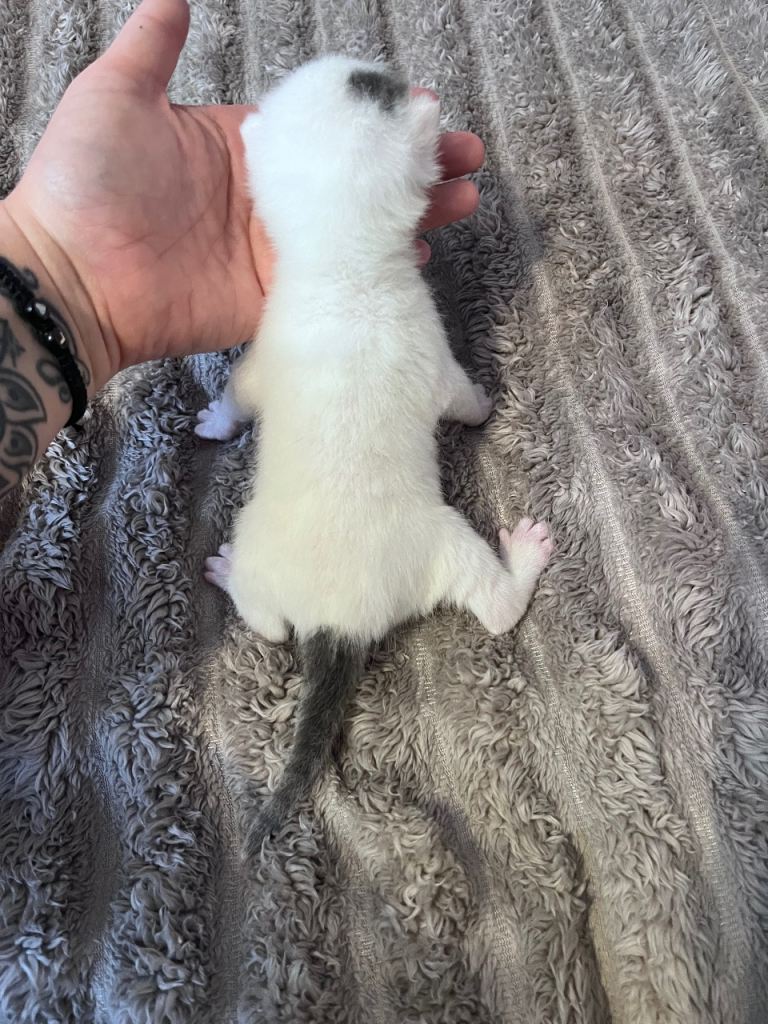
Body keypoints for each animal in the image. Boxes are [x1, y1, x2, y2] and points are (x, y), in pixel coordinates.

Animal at [195, 56, 553, 857]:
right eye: (375, 79)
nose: (390, 68)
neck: (341, 269)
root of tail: (337, 619)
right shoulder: (434, 356)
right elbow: (462, 397)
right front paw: (487, 406)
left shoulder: (260, 354)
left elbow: (240, 391)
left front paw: (215, 419)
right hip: (441, 542)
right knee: (495, 611)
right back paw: (521, 562)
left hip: (265, 546)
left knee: (270, 625)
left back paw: (231, 576)